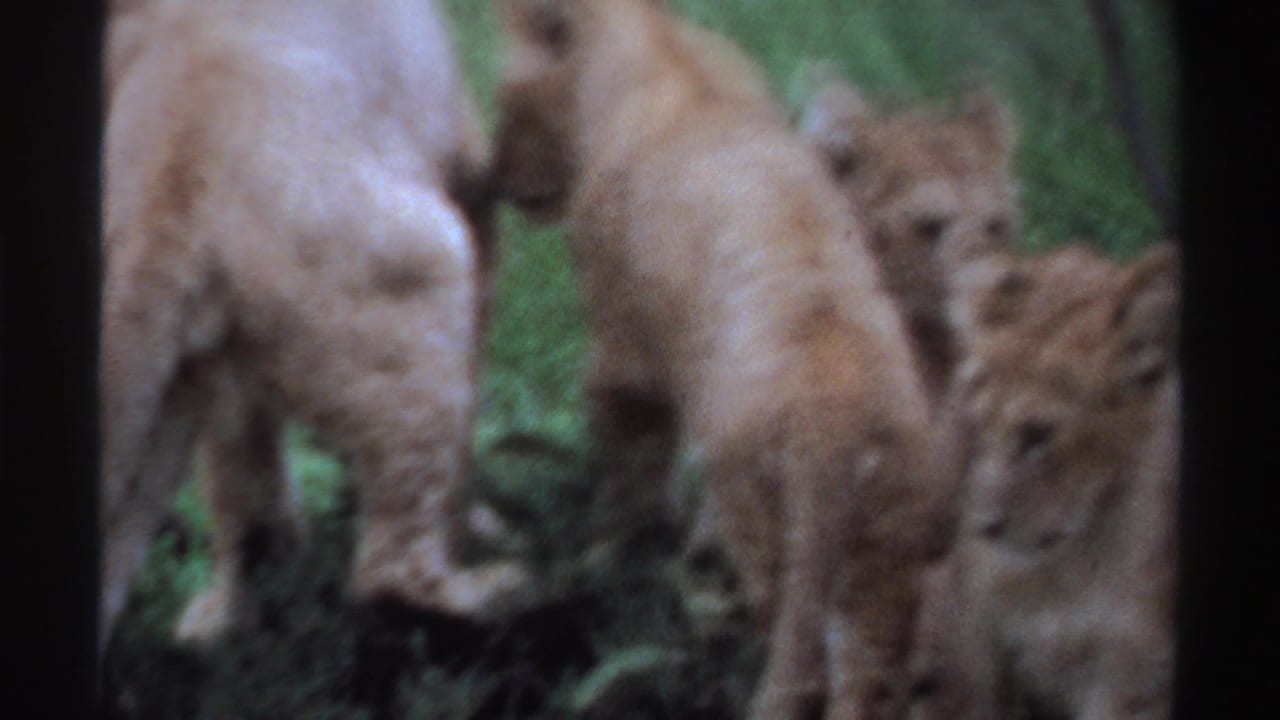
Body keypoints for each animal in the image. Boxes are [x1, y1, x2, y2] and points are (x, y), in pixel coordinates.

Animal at [100, 0, 521, 657]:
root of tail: (167, 186)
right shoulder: (470, 178)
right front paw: (475, 520)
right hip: (420, 278)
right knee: (388, 571)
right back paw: (496, 592)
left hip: (169, 396)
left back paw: (223, 616)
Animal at [493, 1, 958, 717]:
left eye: (502, 97)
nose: (495, 176)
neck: (666, 55)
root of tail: (836, 408)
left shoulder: (624, 356)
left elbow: (628, 478)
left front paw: (611, 557)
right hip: (884, 542)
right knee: (866, 677)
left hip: (760, 508)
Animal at [906, 241, 1179, 720]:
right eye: (977, 422)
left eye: (1038, 435)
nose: (986, 527)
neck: (1062, 573)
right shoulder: (980, 648)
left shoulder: (1128, 677)